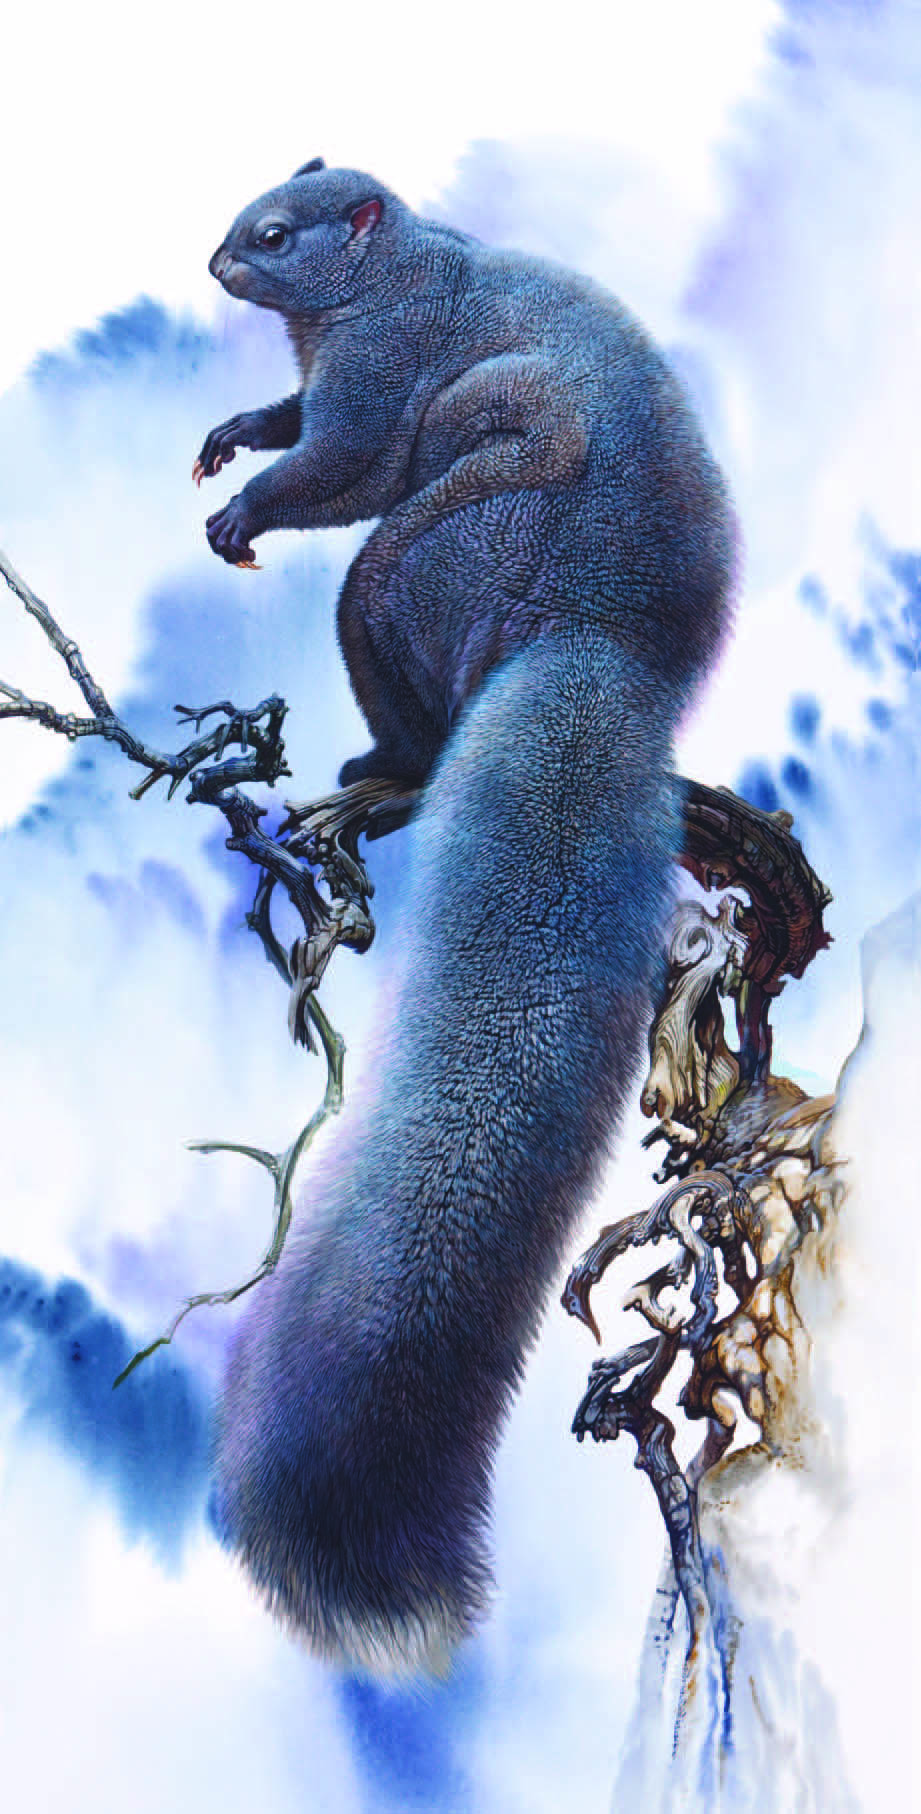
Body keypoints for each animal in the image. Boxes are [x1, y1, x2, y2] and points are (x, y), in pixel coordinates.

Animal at [197, 158, 736, 1674]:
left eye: (274, 235)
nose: (213, 262)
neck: (394, 279)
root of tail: (599, 648)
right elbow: (281, 428)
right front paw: (226, 437)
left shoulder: (380, 376)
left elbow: (328, 463)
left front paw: (242, 506)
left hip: (440, 540)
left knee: (384, 585)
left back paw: (388, 773)